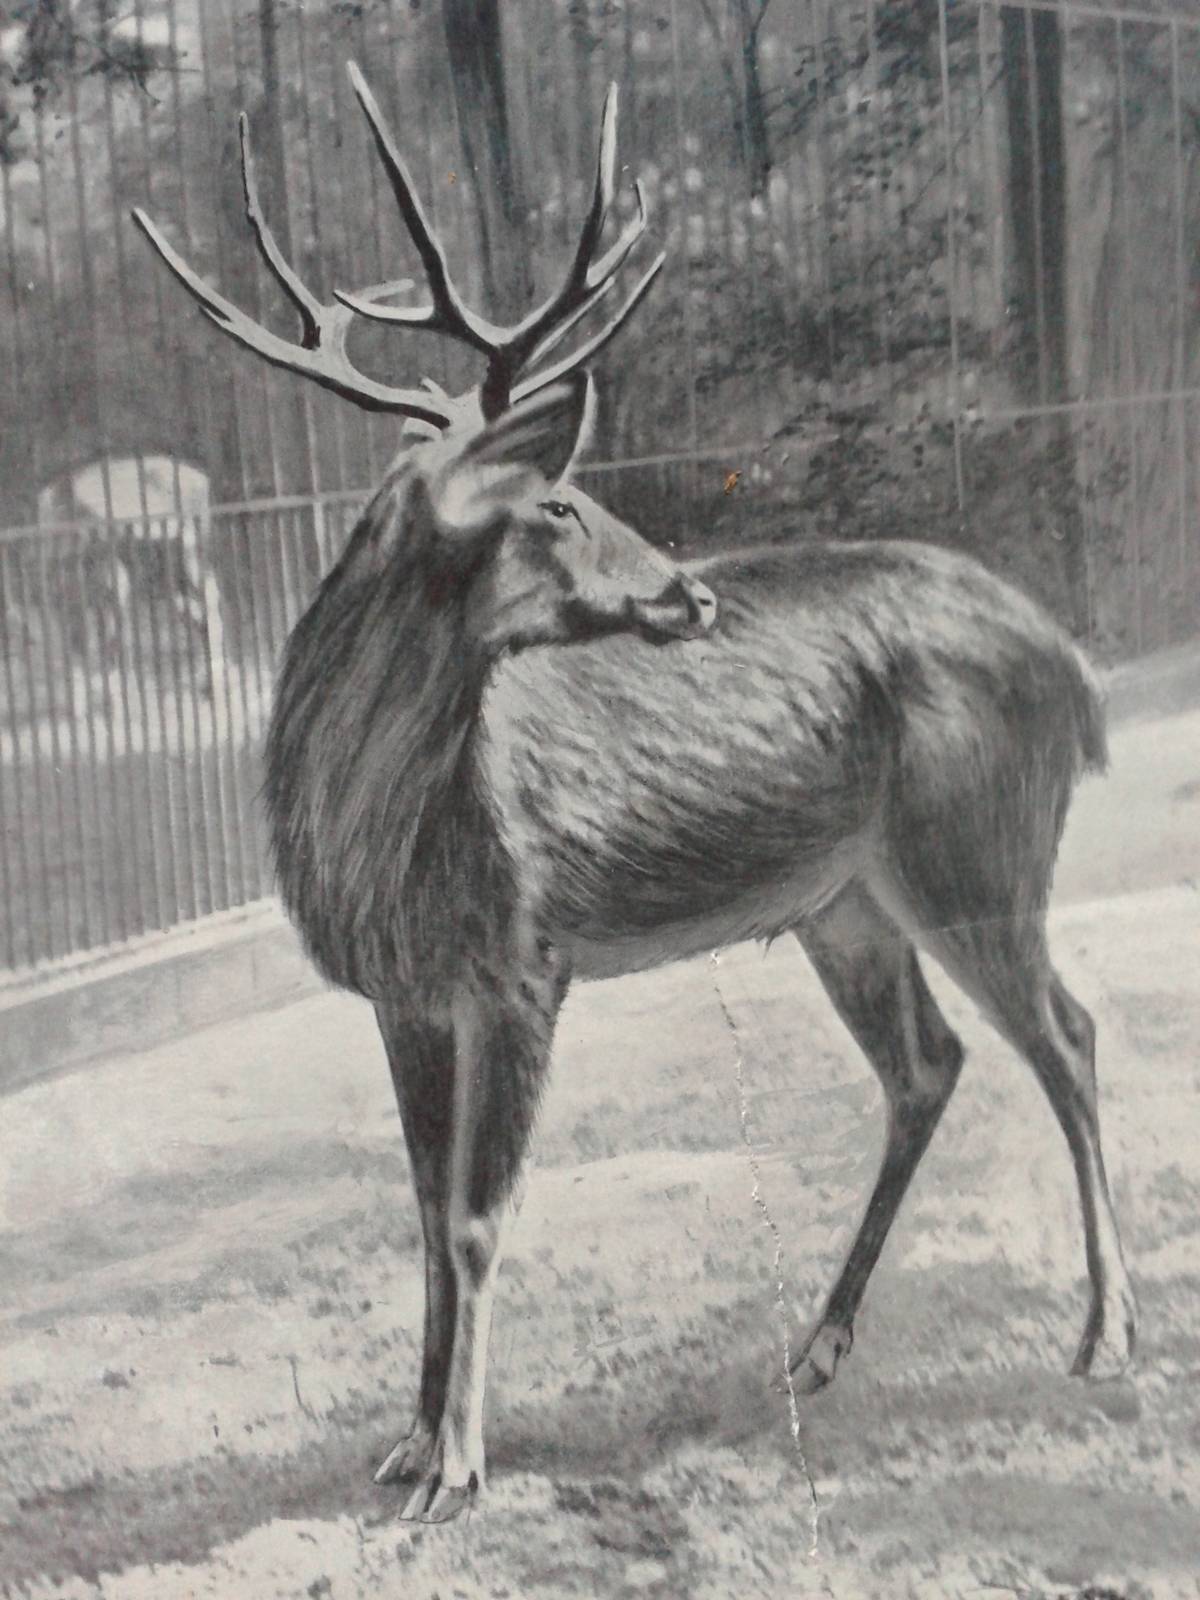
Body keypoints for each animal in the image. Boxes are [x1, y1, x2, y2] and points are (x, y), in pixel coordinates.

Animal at [133, 63, 1137, 1524]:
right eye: (552, 503)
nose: (689, 591)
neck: (380, 829)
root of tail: (1073, 667)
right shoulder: (402, 992)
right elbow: (421, 1212)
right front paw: (406, 1439)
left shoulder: (521, 959)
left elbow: (478, 1216)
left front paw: (460, 1466)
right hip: (847, 902)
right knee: (931, 1063)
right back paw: (818, 1345)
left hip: (980, 848)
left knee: (1067, 1034)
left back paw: (1106, 1333)